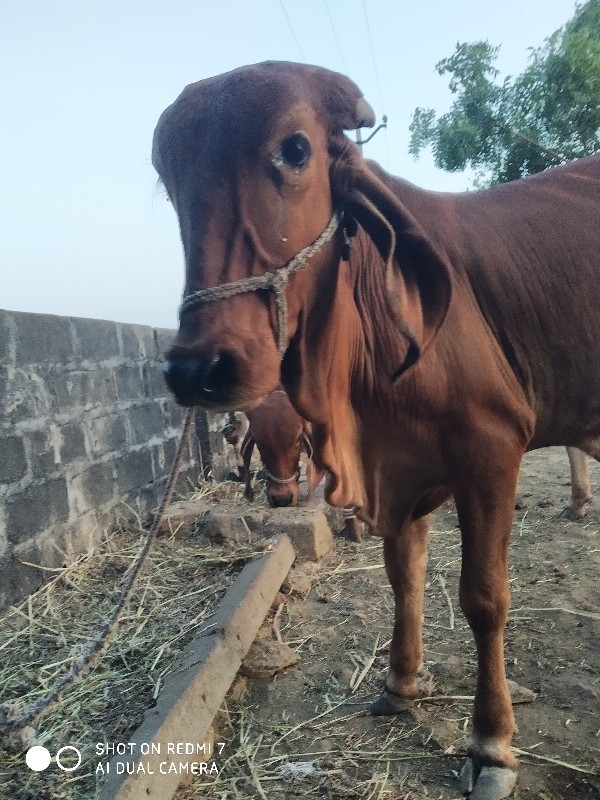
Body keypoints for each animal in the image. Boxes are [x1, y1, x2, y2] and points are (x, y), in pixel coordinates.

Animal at [154, 64, 600, 800]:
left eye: (296, 149)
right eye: (166, 171)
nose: (199, 367)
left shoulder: (490, 449)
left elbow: (485, 599)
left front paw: (492, 743)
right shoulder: (399, 470)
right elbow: (403, 575)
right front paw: (400, 681)